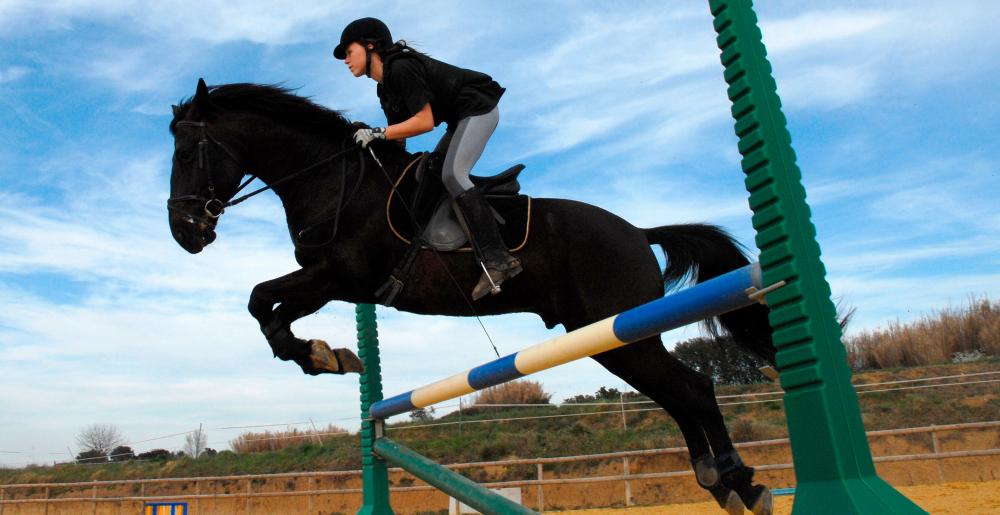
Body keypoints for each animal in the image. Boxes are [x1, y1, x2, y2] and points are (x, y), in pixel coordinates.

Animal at [168, 80, 776, 515]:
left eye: (190, 152)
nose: (184, 233)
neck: (333, 181)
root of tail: (638, 233)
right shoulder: (332, 281)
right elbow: (267, 310)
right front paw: (326, 355)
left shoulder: (340, 276)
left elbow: (261, 301)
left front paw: (320, 355)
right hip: (614, 338)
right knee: (679, 394)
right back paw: (720, 481)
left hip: (620, 333)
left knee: (693, 390)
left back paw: (740, 481)